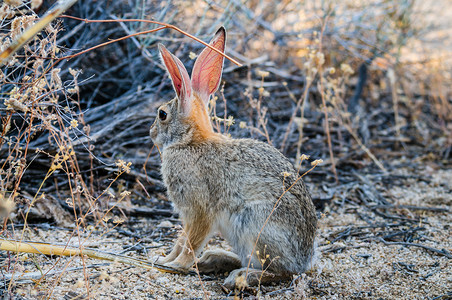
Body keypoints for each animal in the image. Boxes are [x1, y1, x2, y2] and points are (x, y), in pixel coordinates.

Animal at [150, 28, 316, 288]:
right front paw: (164, 259)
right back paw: (214, 258)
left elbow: (190, 242)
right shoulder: (188, 215)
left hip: (254, 226)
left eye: (162, 114)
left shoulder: (199, 209)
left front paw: (175, 265)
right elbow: (181, 240)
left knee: (280, 272)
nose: (151, 133)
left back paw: (239, 277)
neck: (190, 141)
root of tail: (304, 261)